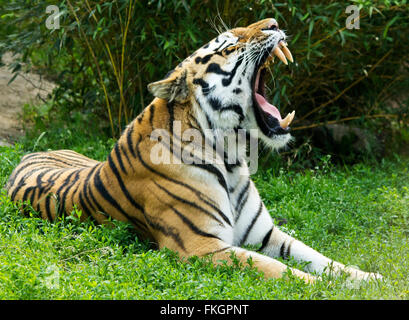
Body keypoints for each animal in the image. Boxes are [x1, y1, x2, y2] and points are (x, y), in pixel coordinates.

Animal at [6, 18, 380, 282]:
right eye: (229, 45)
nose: (274, 23)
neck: (231, 157)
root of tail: (30, 153)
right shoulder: (204, 247)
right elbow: (283, 272)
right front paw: (326, 289)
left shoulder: (266, 235)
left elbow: (321, 259)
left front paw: (369, 278)